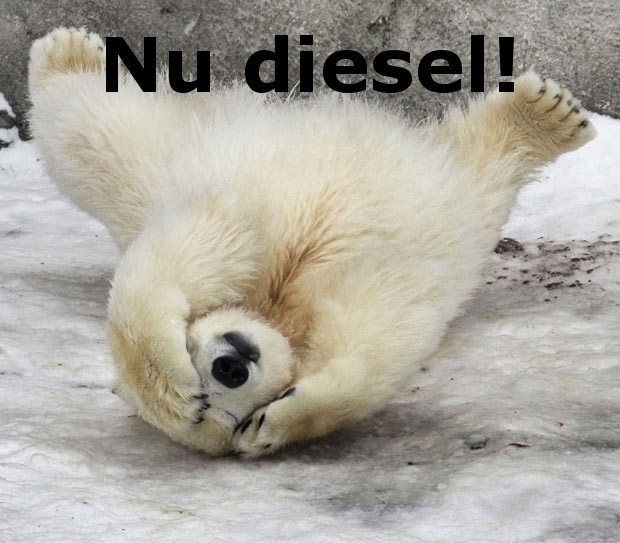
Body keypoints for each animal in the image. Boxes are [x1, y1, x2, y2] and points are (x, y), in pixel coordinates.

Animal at [28, 28, 595, 458]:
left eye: (193, 355)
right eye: (221, 415)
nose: (230, 364)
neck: (275, 306)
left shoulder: (236, 234)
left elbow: (203, 244)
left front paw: (169, 376)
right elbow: (379, 317)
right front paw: (287, 417)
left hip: (174, 162)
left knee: (102, 139)